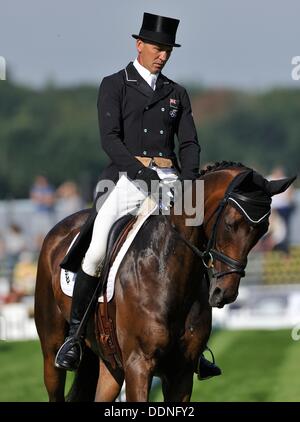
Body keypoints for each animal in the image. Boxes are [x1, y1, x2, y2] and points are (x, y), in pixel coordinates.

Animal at [34, 162, 294, 402]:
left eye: (262, 230)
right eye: (231, 223)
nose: (225, 292)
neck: (165, 270)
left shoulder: (181, 373)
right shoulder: (138, 365)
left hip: (110, 365)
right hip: (51, 350)